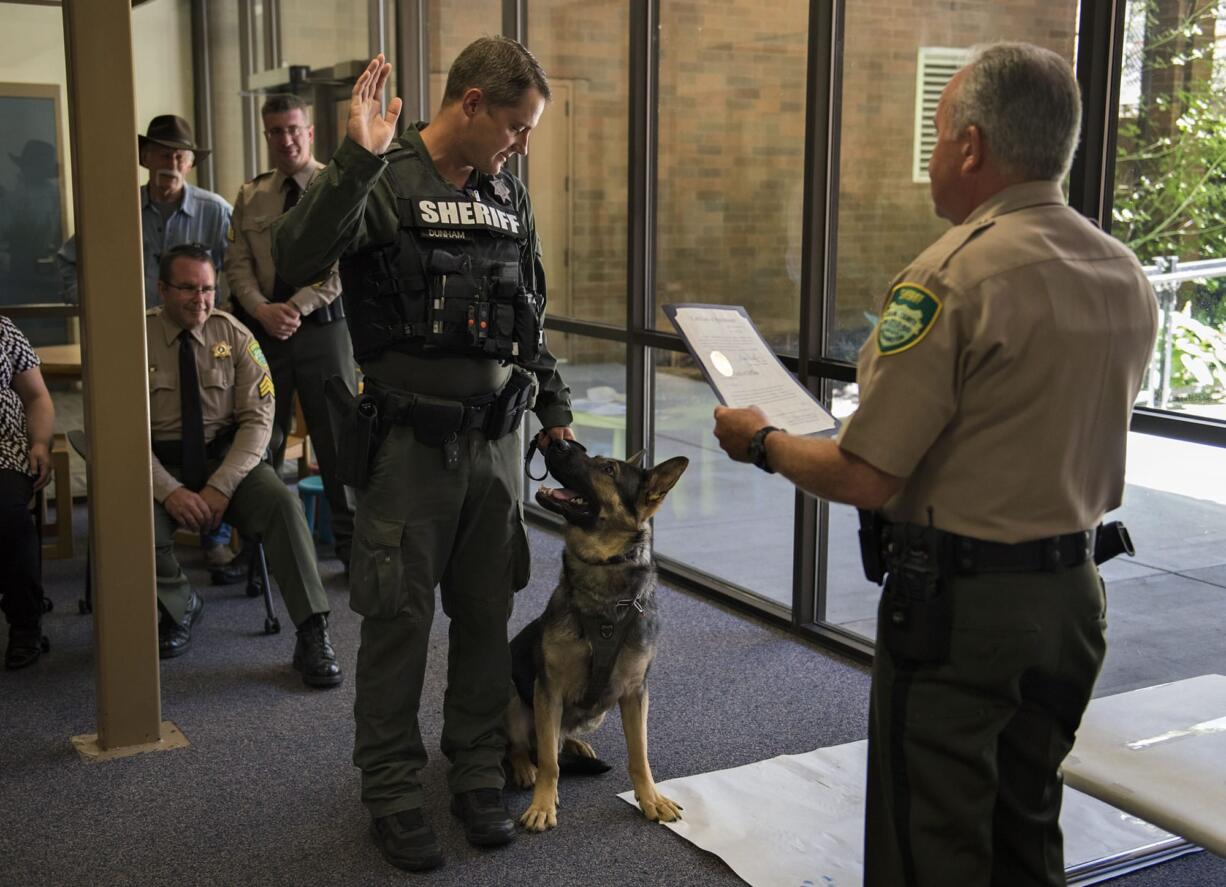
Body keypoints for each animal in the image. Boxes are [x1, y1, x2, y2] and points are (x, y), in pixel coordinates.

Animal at [505, 439, 691, 834]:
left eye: (608, 469)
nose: (556, 441)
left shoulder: (635, 693)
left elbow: (639, 754)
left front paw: (650, 799)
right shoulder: (548, 691)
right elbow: (550, 763)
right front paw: (542, 805)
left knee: (559, 737)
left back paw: (575, 745)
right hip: (513, 693)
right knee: (525, 746)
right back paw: (525, 766)